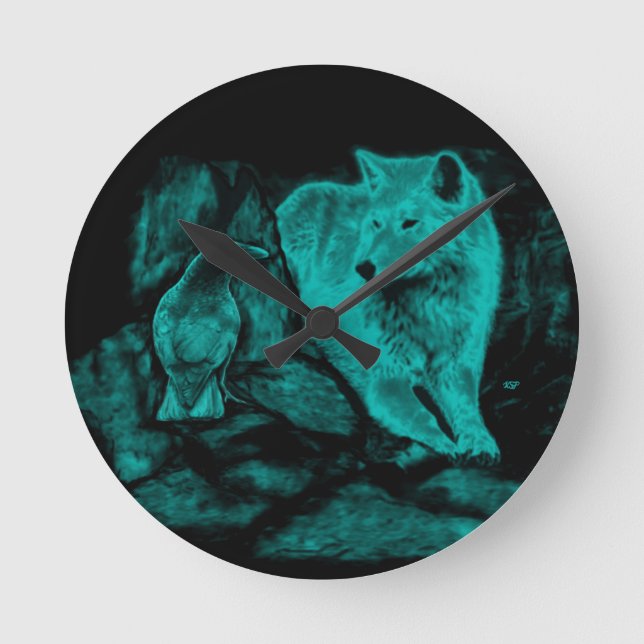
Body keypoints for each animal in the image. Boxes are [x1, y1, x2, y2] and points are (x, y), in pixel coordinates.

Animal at [275, 149, 502, 465]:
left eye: (409, 223)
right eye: (376, 223)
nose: (363, 267)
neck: (425, 307)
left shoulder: (455, 368)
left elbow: (468, 411)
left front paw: (480, 442)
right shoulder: (385, 378)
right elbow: (423, 415)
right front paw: (446, 445)